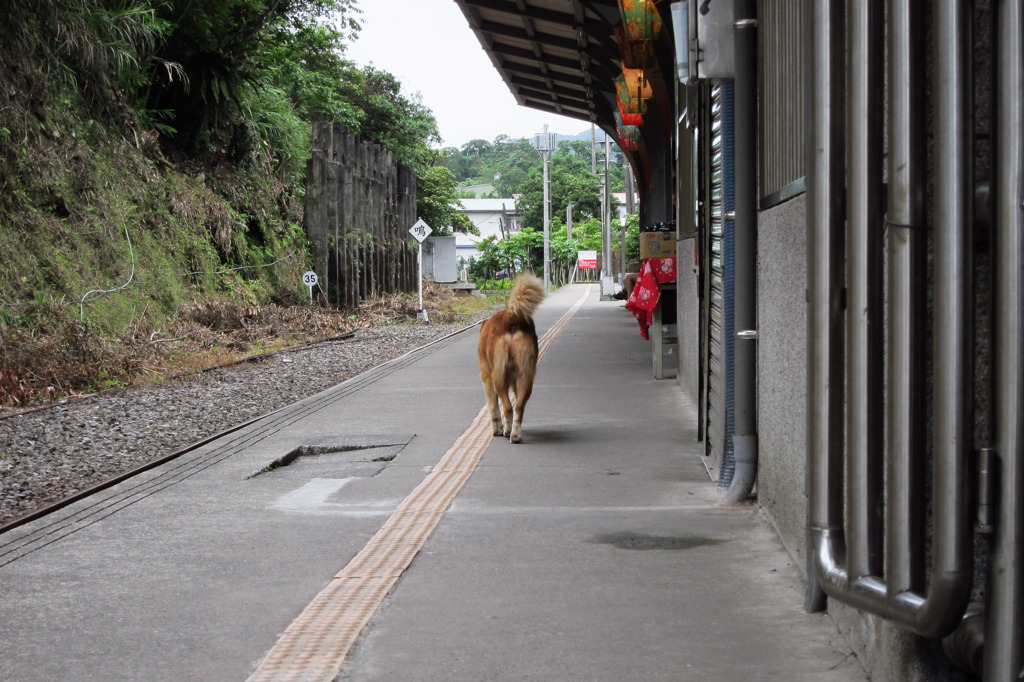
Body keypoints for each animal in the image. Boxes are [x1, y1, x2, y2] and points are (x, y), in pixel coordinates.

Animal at [477, 274, 544, 444]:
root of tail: (510, 318)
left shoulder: (486, 376)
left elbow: (493, 407)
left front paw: (497, 430)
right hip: (525, 375)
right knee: (519, 407)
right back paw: (515, 435)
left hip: (498, 377)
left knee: (507, 407)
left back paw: (507, 432)